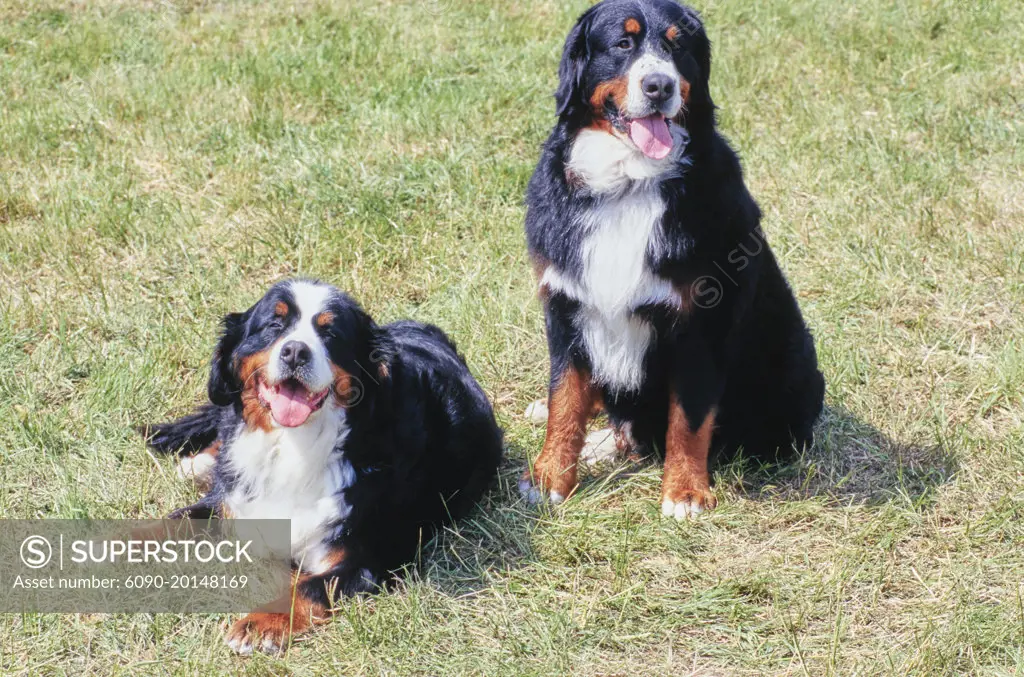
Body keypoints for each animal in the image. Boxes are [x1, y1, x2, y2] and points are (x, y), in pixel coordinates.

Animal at [144, 276, 503, 651]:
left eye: (331, 334)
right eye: (274, 324)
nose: (295, 351)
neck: (293, 447)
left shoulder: (365, 558)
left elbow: (308, 586)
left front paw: (260, 623)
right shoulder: (231, 503)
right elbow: (167, 523)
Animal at [520, 0, 823, 518]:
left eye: (677, 46)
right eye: (623, 43)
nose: (659, 86)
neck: (628, 184)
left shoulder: (700, 321)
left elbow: (689, 417)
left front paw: (684, 492)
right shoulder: (566, 304)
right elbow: (565, 398)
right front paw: (550, 478)